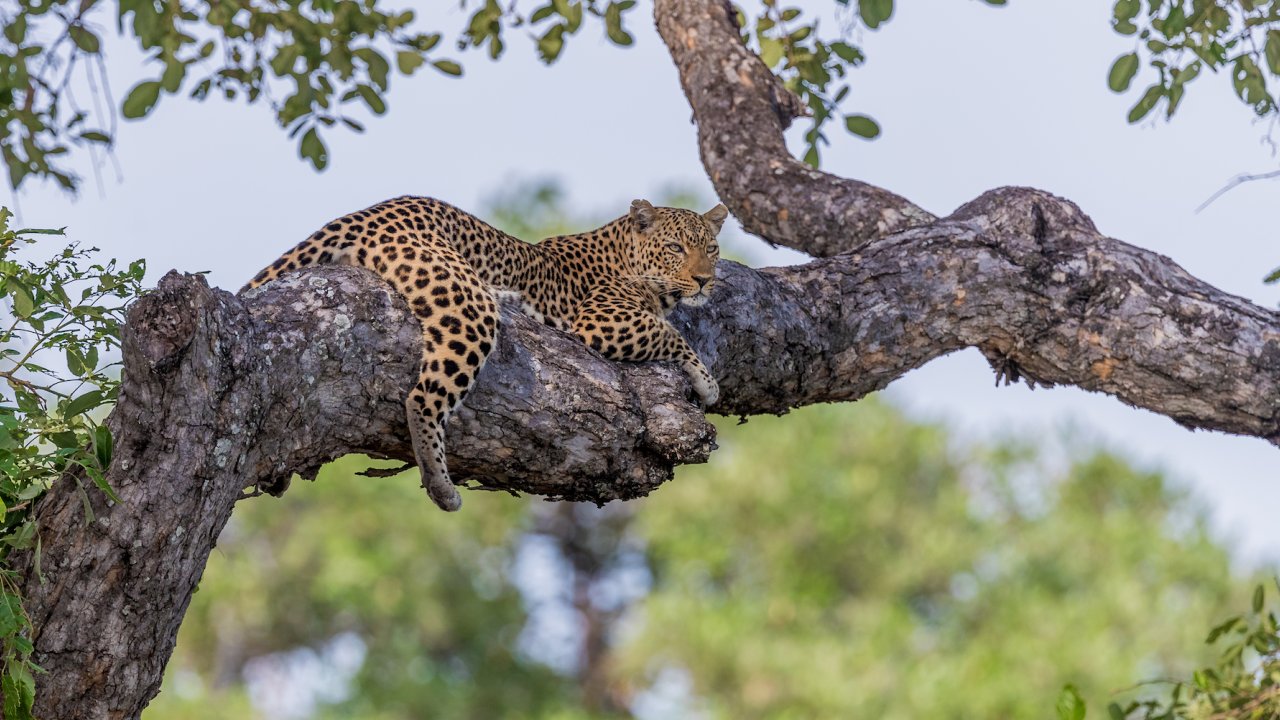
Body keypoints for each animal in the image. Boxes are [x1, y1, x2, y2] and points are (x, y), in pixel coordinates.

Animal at [242, 195, 727, 512]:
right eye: (675, 248)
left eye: (711, 248)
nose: (704, 279)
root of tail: (366, 213)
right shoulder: (601, 321)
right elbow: (670, 334)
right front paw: (707, 381)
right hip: (465, 304)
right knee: (421, 398)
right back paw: (442, 487)